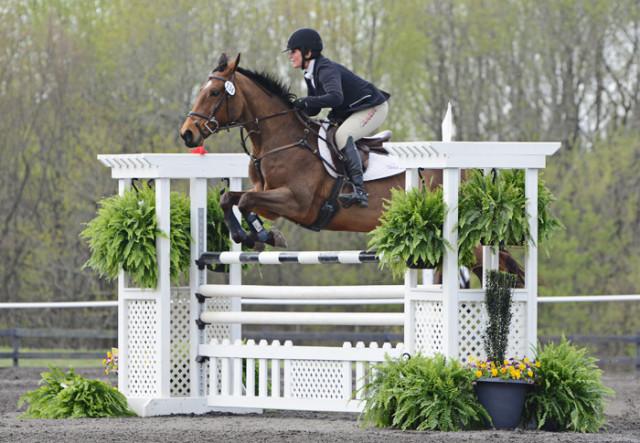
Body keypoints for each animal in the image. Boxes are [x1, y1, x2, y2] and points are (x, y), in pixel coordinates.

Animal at [181, 53, 524, 286]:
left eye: (214, 93)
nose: (187, 134)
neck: (283, 140)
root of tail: (470, 172)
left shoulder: (297, 203)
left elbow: (245, 202)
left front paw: (263, 236)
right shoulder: (269, 197)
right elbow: (232, 199)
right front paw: (252, 235)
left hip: (467, 240)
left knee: (502, 267)